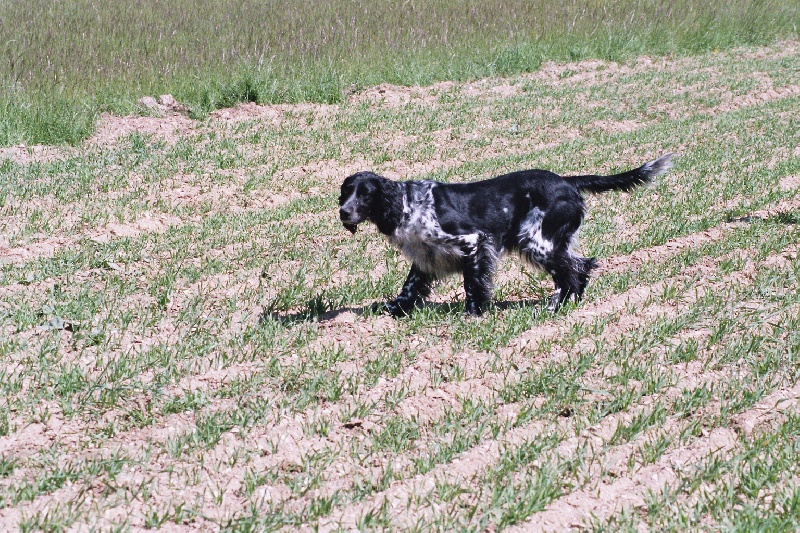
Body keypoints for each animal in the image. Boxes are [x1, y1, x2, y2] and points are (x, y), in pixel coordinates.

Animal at [340, 152, 676, 314]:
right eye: (345, 192)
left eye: (365, 195)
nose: (343, 212)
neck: (408, 204)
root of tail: (567, 181)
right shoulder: (425, 257)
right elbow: (409, 287)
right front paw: (393, 311)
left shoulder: (473, 242)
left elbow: (474, 284)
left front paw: (473, 313)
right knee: (581, 266)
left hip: (535, 241)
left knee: (570, 273)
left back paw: (553, 308)